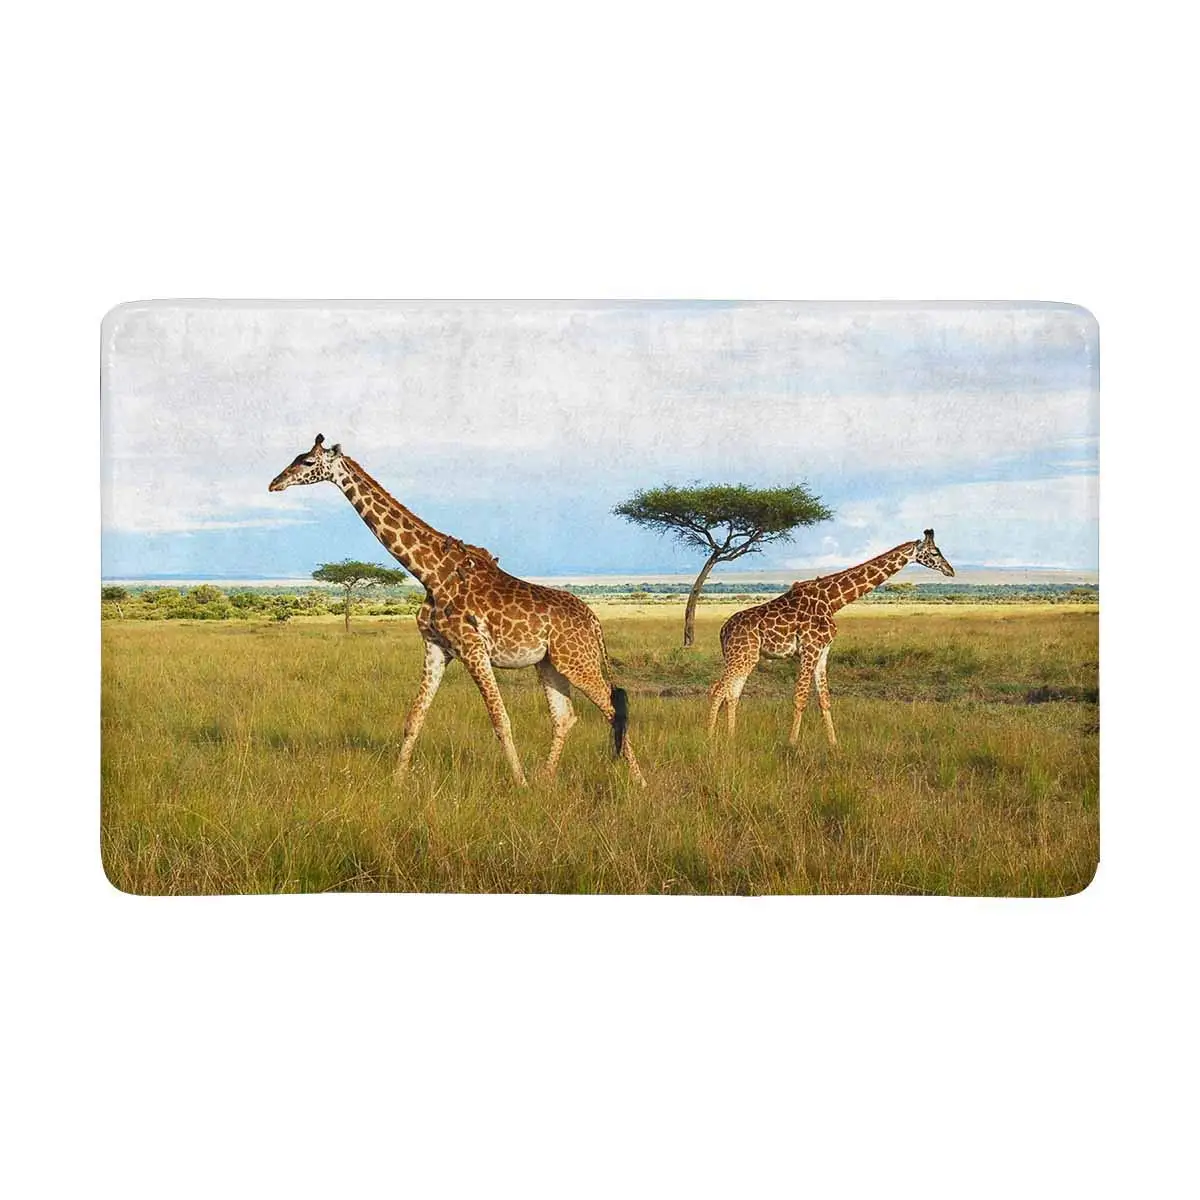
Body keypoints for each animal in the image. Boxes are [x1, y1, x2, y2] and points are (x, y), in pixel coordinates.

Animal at [269, 435, 646, 788]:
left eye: (307, 461)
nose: (275, 483)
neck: (429, 573)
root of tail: (595, 622)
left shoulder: (473, 648)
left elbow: (501, 720)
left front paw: (520, 785)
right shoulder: (437, 647)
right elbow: (414, 717)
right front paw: (396, 781)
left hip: (577, 661)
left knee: (613, 710)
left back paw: (638, 782)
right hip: (550, 664)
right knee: (565, 717)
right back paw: (545, 779)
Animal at [707, 531, 955, 745]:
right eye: (935, 552)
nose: (950, 570)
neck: (833, 600)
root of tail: (722, 631)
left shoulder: (823, 651)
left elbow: (825, 699)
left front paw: (834, 745)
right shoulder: (810, 649)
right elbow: (800, 698)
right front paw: (792, 744)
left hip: (747, 657)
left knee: (732, 693)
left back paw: (731, 738)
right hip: (742, 655)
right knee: (717, 690)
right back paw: (708, 738)